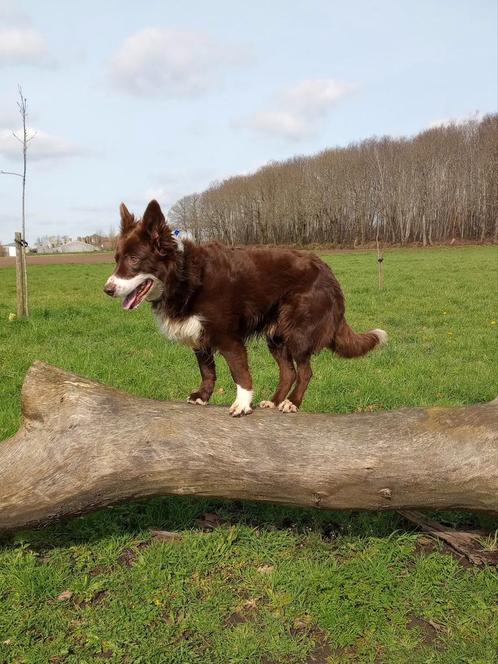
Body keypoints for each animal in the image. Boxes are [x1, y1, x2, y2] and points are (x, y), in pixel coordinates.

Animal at [104, 198, 386, 416]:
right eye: (117, 259)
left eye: (134, 259)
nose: (107, 290)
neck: (185, 276)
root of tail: (329, 272)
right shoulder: (200, 337)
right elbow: (207, 371)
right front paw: (203, 396)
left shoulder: (228, 338)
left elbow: (239, 372)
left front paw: (242, 404)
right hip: (276, 335)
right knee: (288, 371)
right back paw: (273, 401)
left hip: (298, 332)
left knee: (305, 372)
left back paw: (291, 403)